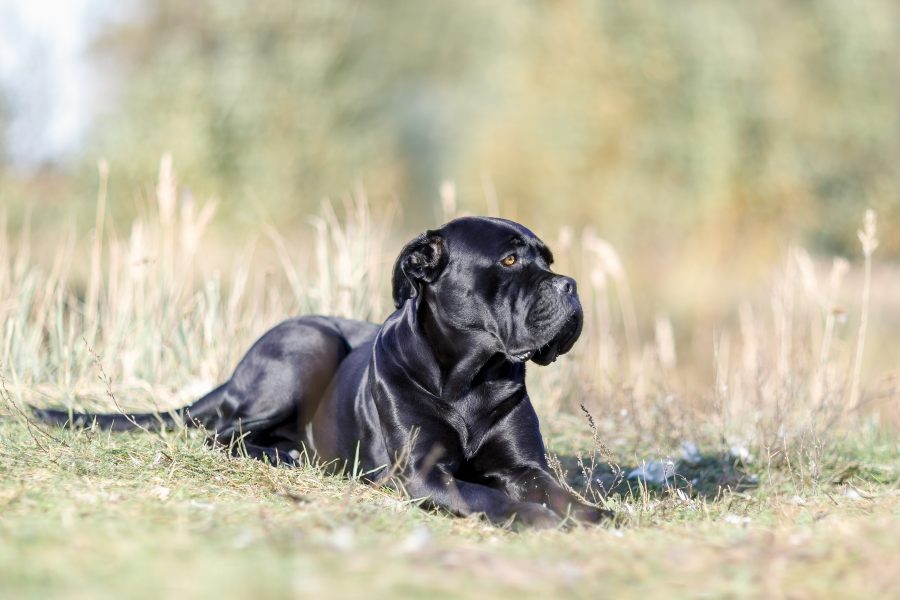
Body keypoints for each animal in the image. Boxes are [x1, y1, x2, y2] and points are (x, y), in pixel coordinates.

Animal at [35, 218, 612, 528]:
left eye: (548, 259)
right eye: (510, 261)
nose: (570, 286)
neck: (470, 376)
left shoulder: (525, 468)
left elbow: (557, 491)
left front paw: (595, 516)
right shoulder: (424, 473)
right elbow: (489, 497)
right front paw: (541, 521)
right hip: (308, 345)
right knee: (222, 433)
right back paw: (285, 454)